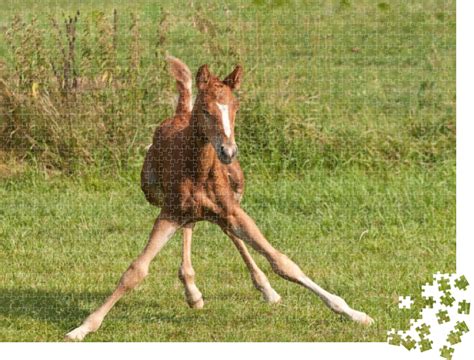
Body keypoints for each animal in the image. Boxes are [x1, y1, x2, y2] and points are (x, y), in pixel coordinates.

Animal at [65, 56, 372, 340]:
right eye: (205, 109)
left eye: (235, 107)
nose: (228, 151)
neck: (199, 170)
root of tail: (179, 112)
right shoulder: (170, 212)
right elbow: (135, 271)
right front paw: (83, 328)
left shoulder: (232, 210)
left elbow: (282, 262)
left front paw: (354, 313)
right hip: (155, 193)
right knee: (193, 225)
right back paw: (193, 291)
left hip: (232, 198)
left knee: (226, 231)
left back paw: (263, 290)